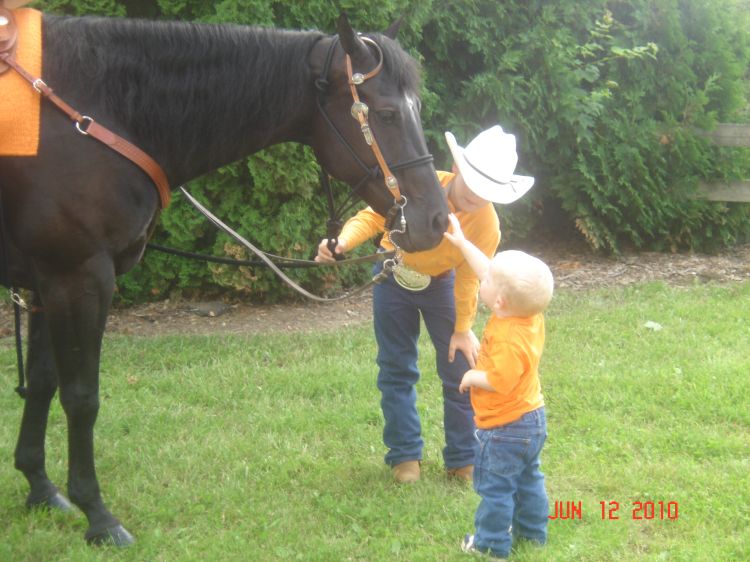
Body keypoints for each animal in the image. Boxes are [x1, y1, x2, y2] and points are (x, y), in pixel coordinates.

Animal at [0, 12, 446, 544]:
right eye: (386, 114)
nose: (436, 220)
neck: (96, 113)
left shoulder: (46, 282)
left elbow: (43, 383)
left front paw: (40, 487)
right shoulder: (78, 276)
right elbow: (81, 397)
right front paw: (98, 515)